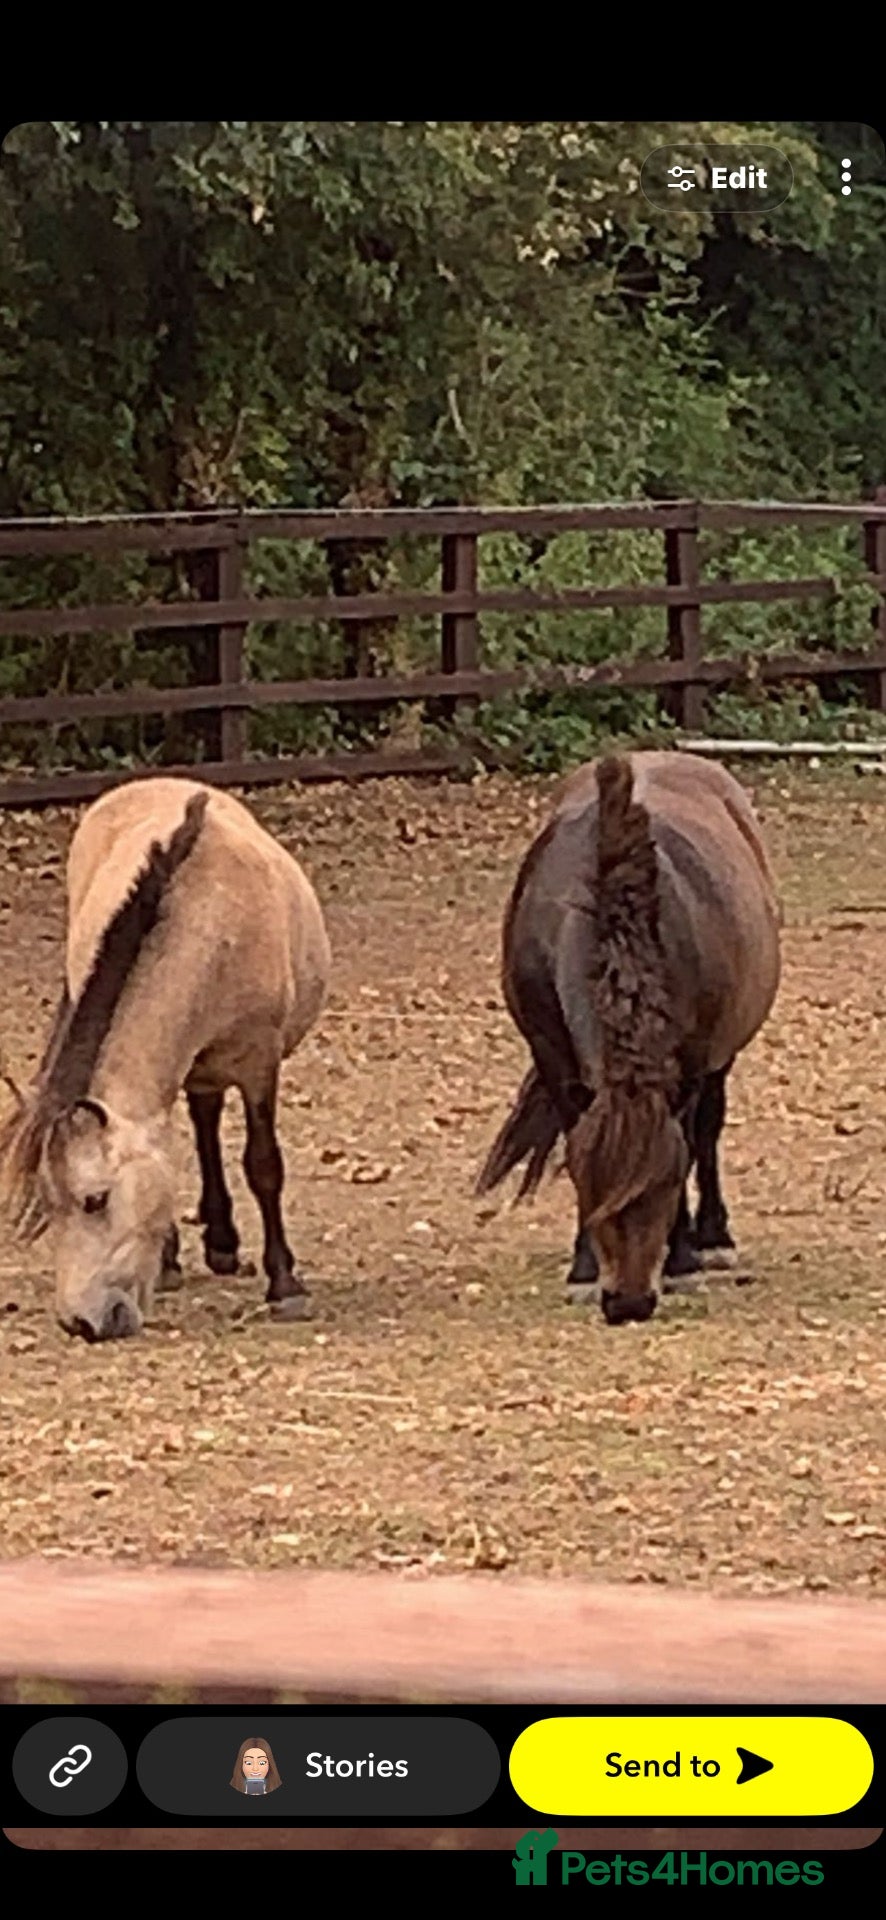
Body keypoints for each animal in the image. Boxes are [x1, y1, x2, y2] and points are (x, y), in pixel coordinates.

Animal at [0, 777, 331, 1342]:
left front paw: (285, 1284)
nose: (81, 1322)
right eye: (47, 1203)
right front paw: (171, 1257)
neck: (210, 920)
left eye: (95, 1200)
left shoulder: (259, 1064)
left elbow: (264, 1165)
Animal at [476, 750, 781, 1325]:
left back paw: (714, 1238)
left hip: (720, 1059)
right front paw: (583, 1268)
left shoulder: (691, 1061)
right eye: (586, 1178)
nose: (629, 1302)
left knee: (709, 1130)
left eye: (666, 1182)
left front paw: (682, 1259)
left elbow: (691, 1140)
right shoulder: (554, 1060)